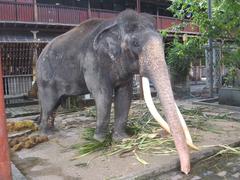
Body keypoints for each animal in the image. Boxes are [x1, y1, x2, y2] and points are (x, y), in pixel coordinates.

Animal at [36, 9, 197, 174]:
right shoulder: (93, 61)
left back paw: (53, 130)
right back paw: (46, 134)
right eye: (135, 43)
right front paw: (99, 141)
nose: (185, 171)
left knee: (56, 104)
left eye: (163, 42)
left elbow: (125, 95)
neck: (114, 24)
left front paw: (122, 139)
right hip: (45, 77)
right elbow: (103, 95)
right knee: (49, 103)